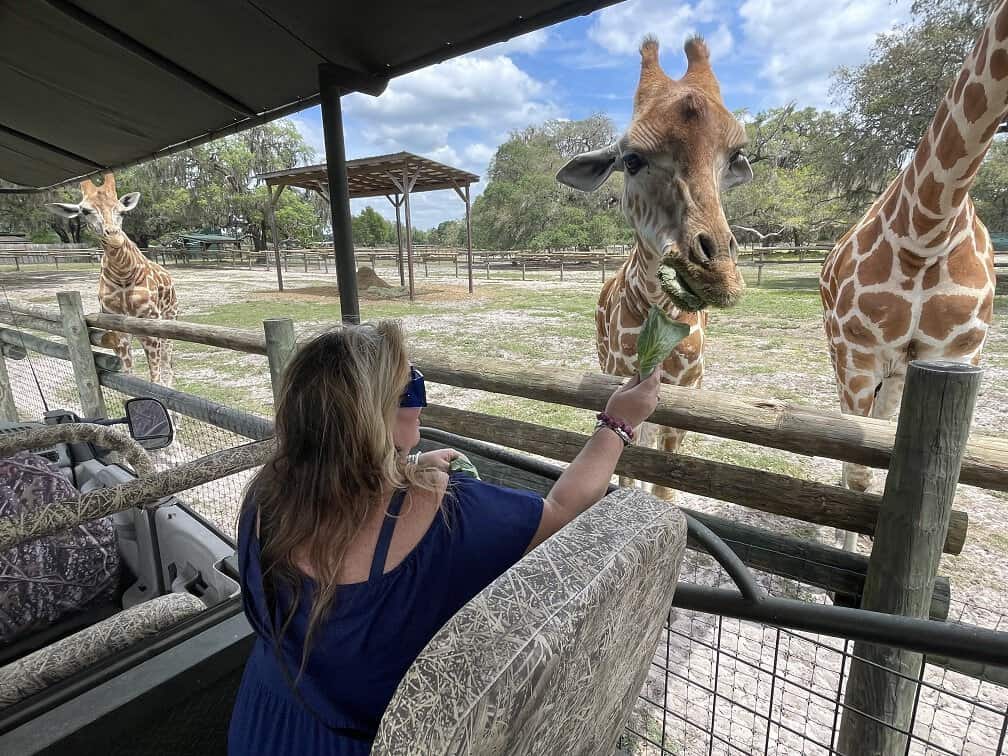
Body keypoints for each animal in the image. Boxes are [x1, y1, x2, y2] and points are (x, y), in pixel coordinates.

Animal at [46, 173, 178, 387]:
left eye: (122, 212)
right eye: (85, 211)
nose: (115, 238)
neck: (123, 275)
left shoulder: (151, 323)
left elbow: (155, 379)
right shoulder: (117, 331)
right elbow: (128, 377)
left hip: (169, 318)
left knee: (168, 365)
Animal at [557, 35, 752, 498]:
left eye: (735, 155)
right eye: (630, 160)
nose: (719, 274)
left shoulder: (688, 391)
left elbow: (664, 480)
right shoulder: (621, 375)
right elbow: (629, 465)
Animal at [821, 0, 1003, 550]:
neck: (926, 231)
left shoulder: (956, 355)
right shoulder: (859, 354)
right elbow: (858, 469)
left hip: (900, 369)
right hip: (848, 358)